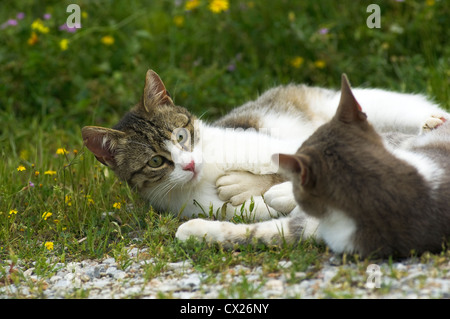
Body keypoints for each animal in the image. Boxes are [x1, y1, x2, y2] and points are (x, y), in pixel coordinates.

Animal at [81, 70, 446, 228]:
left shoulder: (268, 142)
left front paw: (249, 182)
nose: (189, 165)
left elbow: (287, 160)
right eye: (157, 161)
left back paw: (430, 122)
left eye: (181, 136)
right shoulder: (203, 207)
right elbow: (258, 206)